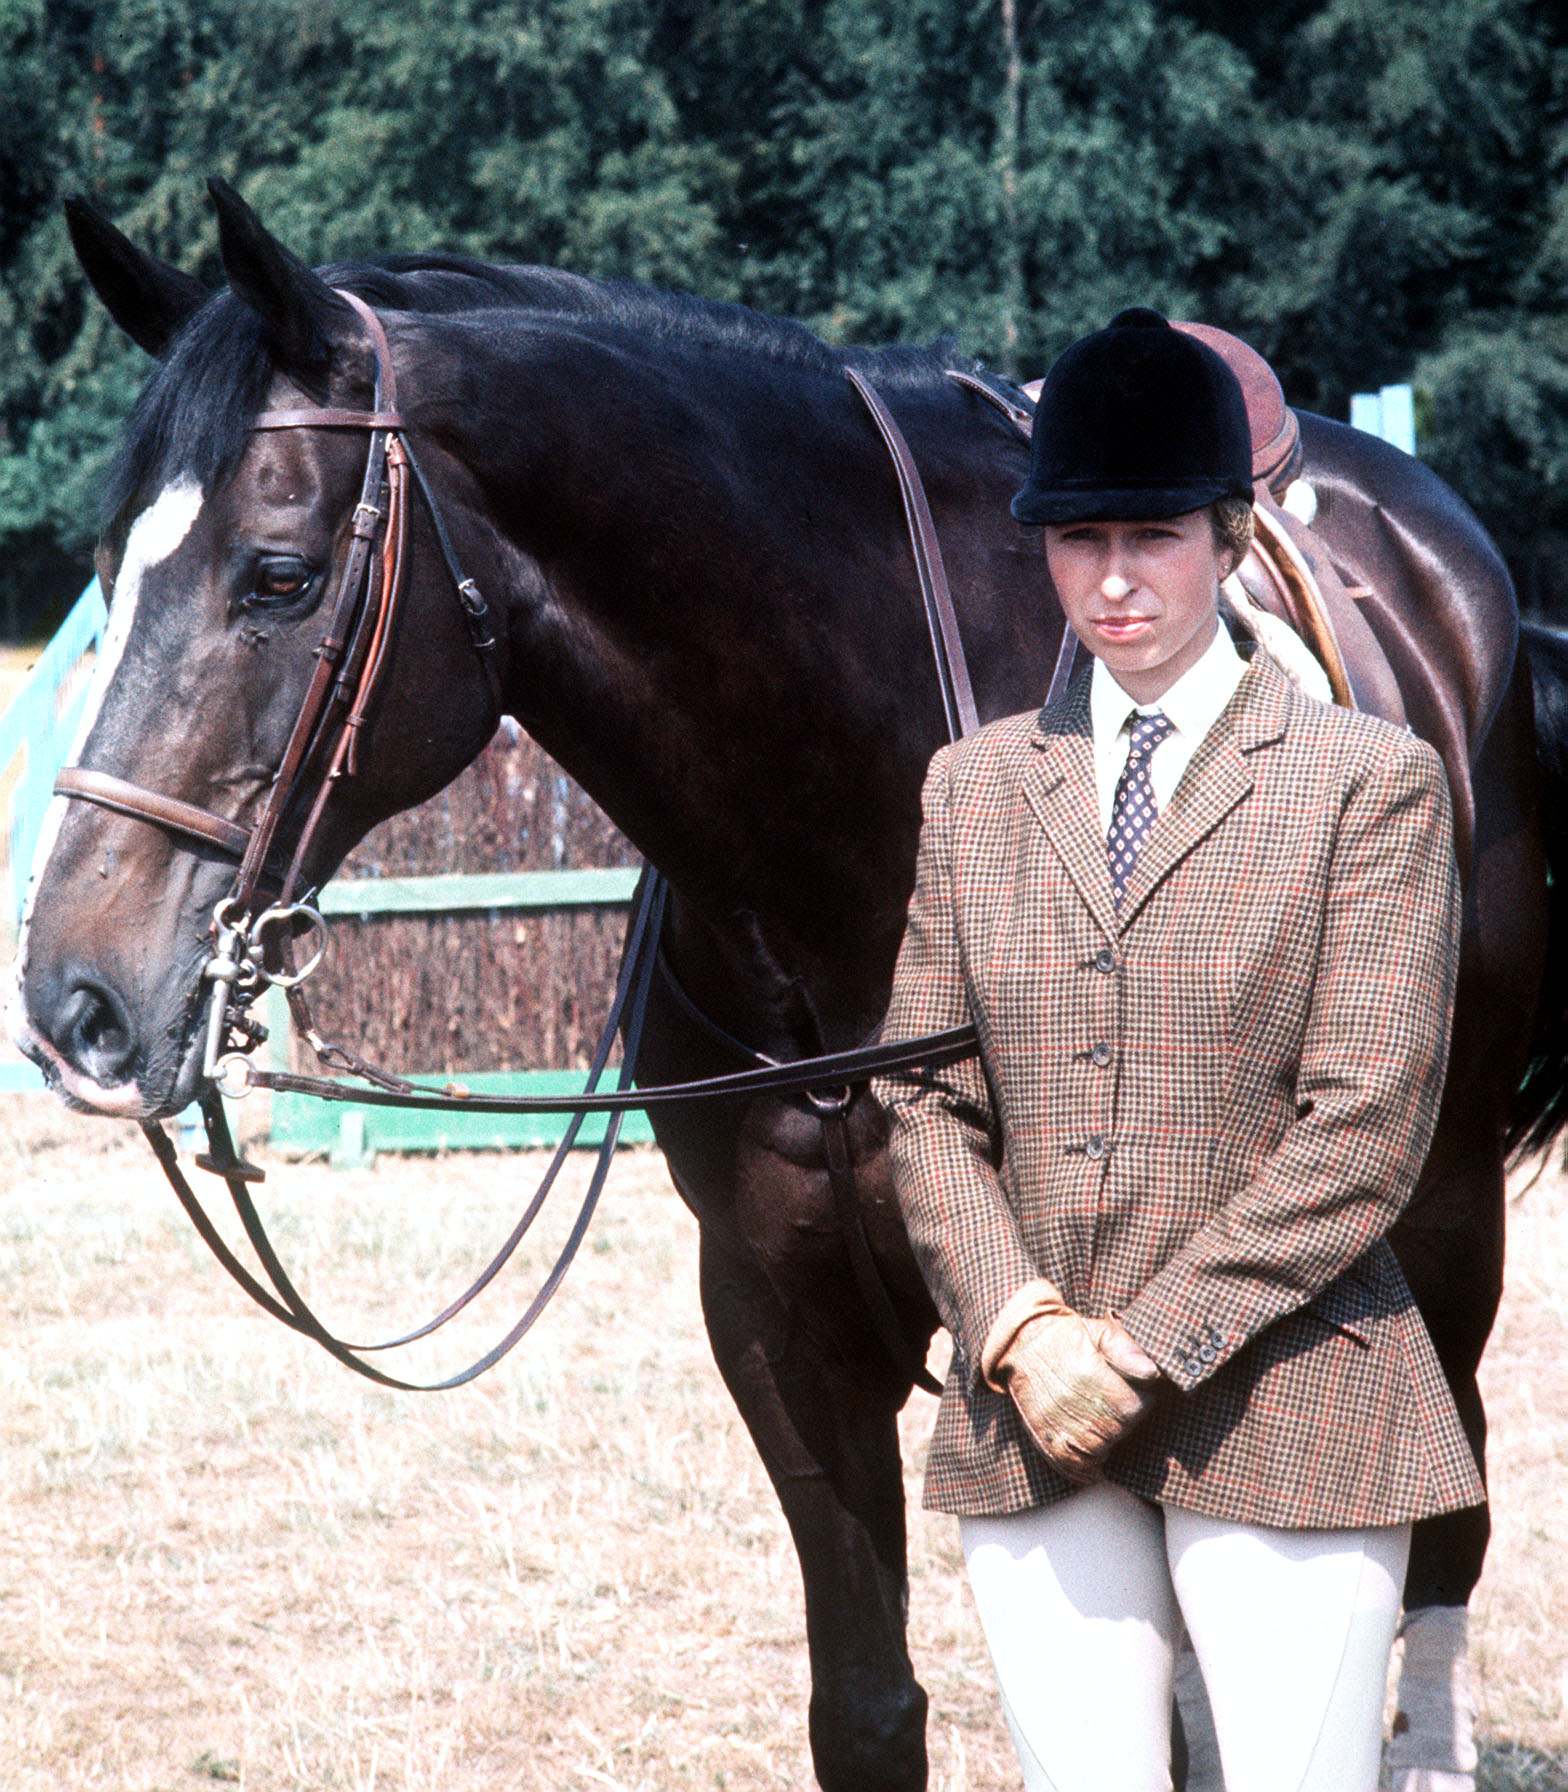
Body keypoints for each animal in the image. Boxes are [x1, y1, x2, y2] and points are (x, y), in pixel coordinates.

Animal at [12, 185, 1568, 1792]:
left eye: (280, 576)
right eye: (109, 576)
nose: (79, 1001)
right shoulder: (779, 1314)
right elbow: (871, 1710)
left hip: (1436, 1220)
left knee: (1440, 1523)